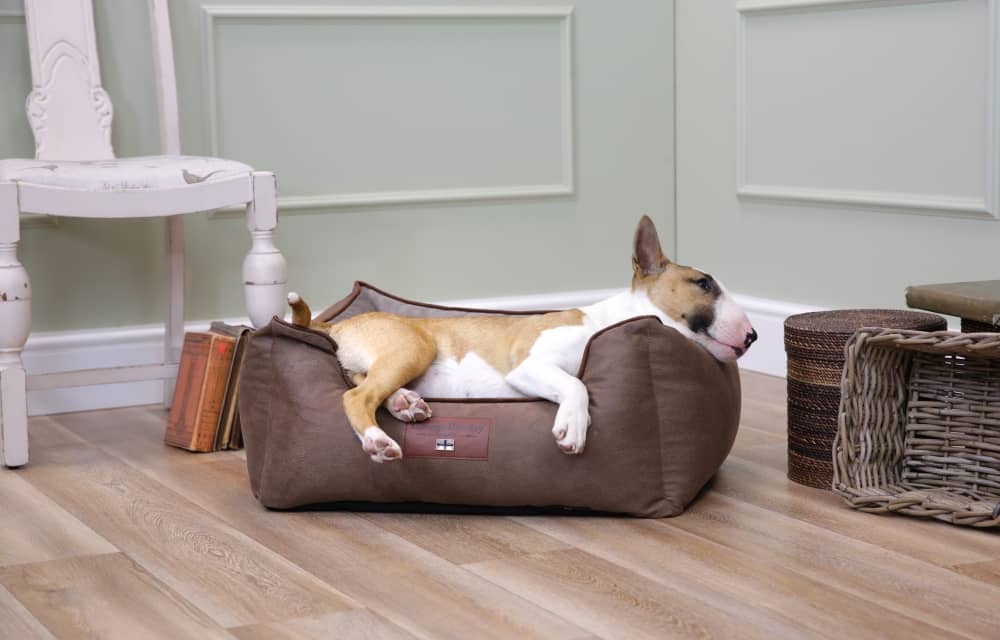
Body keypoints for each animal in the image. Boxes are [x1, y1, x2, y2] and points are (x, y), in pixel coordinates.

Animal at [286, 215, 752, 460]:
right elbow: (577, 384)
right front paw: (573, 427)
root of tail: (335, 325)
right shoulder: (530, 366)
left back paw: (405, 404)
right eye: (703, 284)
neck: (607, 320)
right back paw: (378, 439)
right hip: (413, 346)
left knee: (363, 385)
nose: (753, 336)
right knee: (355, 396)